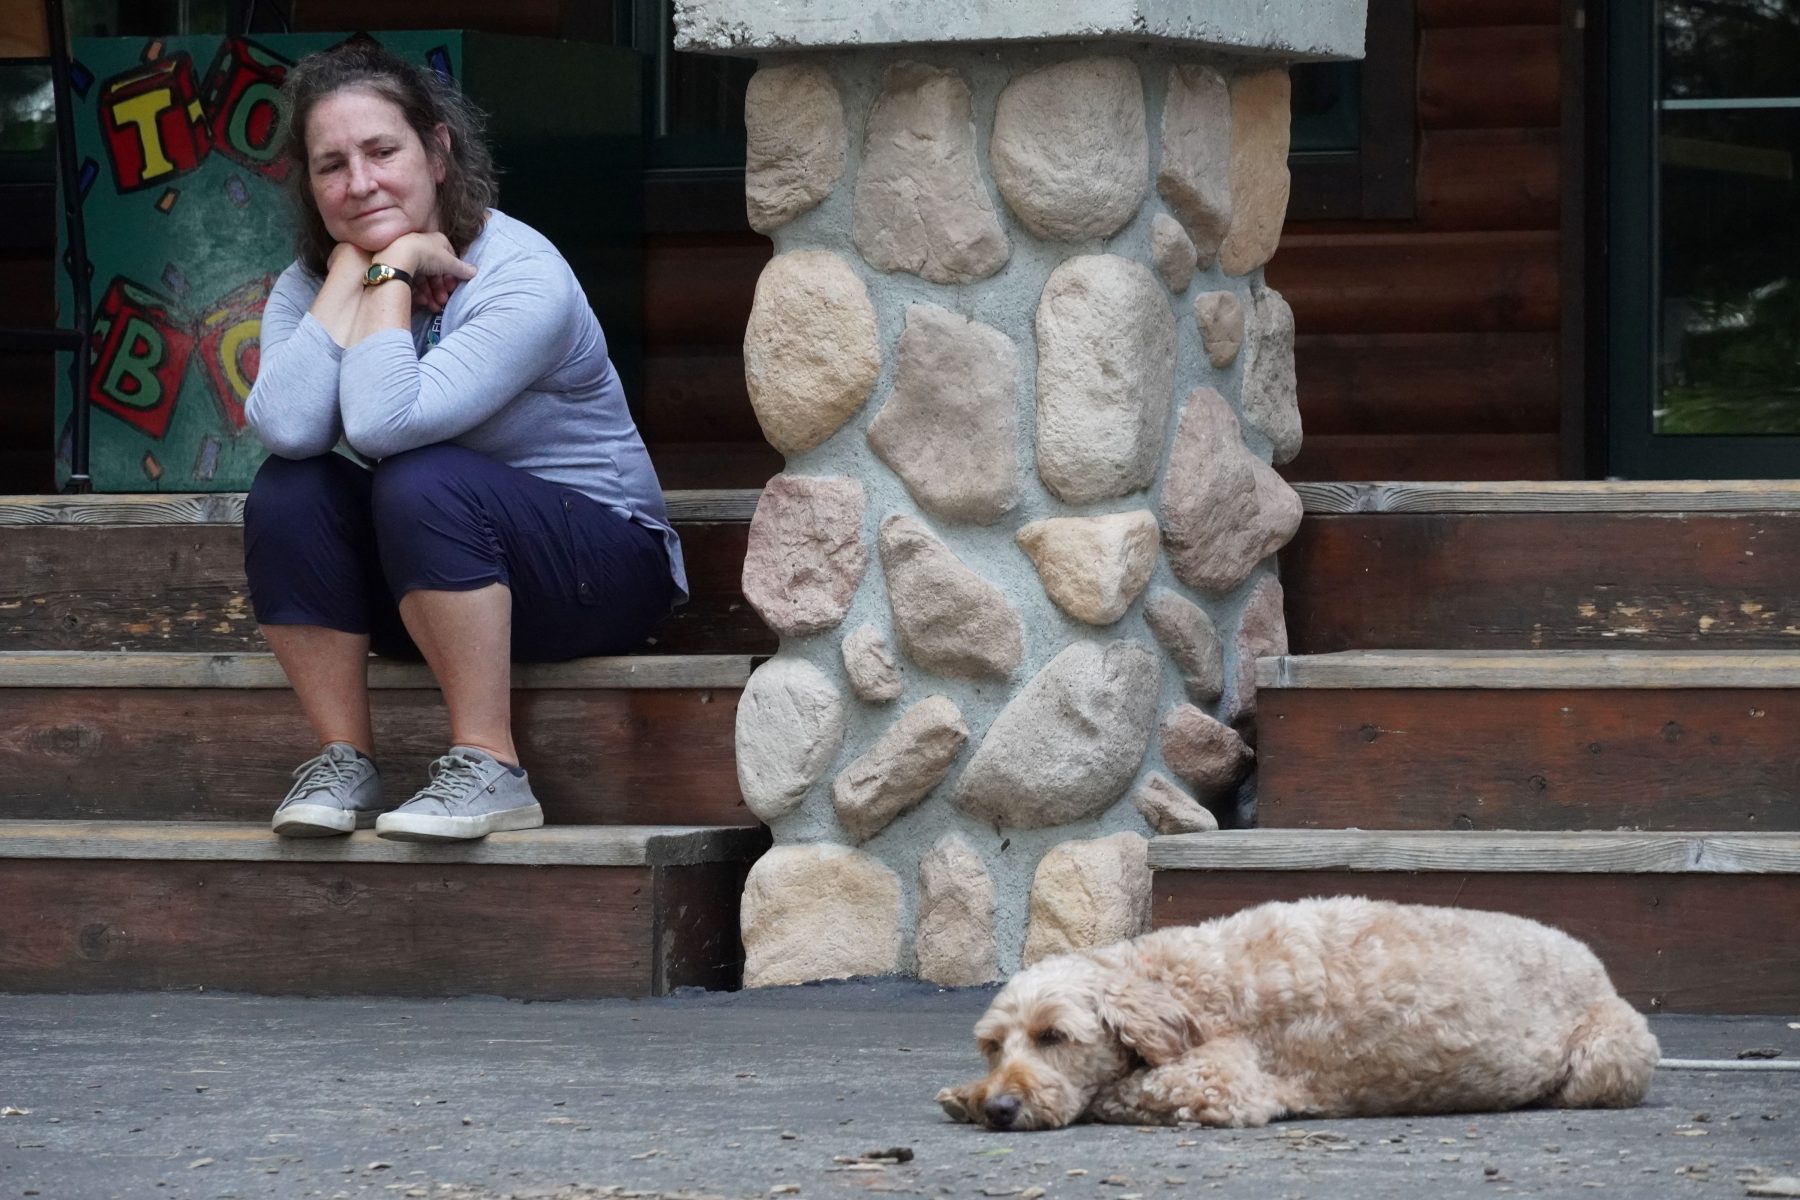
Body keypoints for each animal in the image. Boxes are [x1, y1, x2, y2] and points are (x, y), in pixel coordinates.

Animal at [943, 895, 1656, 1129]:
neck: (1176, 982)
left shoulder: (1221, 1082)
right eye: (993, 1045)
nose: (1000, 1108)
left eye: (1054, 1036)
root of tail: (1594, 960)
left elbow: (1118, 1092)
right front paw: (966, 1093)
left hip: (1609, 1052)